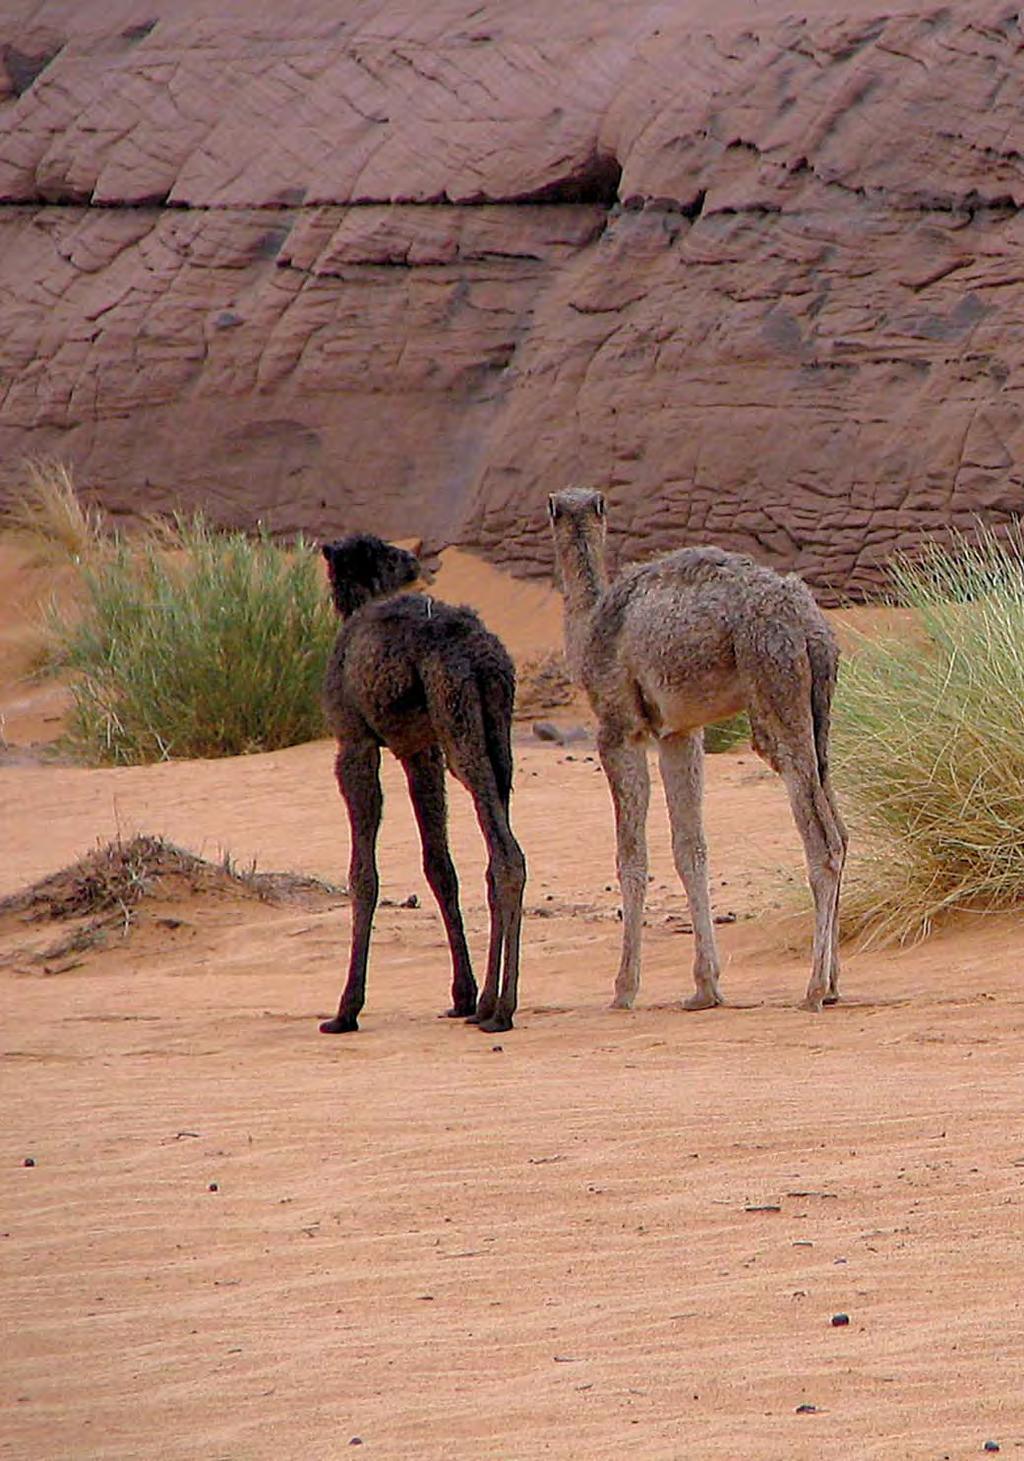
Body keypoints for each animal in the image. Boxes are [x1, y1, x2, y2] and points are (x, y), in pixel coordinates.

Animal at [319, 531, 525, 1034]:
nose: (415, 559)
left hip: (457, 720)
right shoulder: (419, 751)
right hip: (496, 731)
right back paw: (487, 1004)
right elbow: (439, 865)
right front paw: (461, 995)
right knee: (496, 851)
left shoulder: (354, 741)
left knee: (506, 854)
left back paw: (501, 1010)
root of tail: (480, 655)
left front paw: (346, 1009)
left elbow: (363, 873)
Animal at [552, 490, 847, 1016]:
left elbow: (631, 856)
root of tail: (810, 624)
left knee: (824, 840)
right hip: (820, 712)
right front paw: (705, 988)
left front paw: (623, 989)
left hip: (774, 687)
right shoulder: (679, 733)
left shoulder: (619, 731)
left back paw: (813, 989)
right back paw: (832, 984)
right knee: (841, 828)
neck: (589, 626)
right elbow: (691, 848)